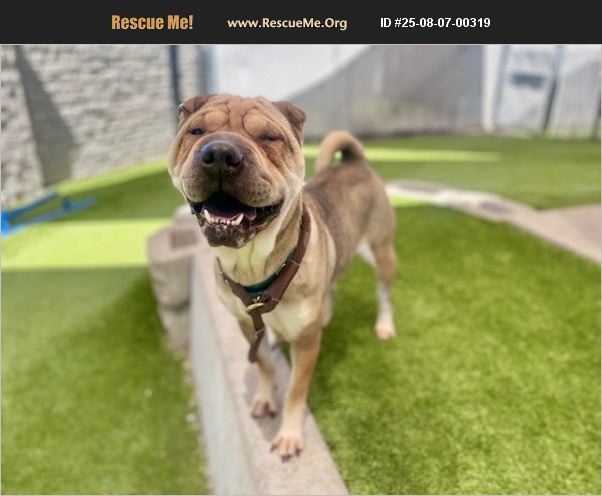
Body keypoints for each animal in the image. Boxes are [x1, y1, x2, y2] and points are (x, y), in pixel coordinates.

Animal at [168, 94, 396, 459]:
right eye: (197, 131)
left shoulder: (305, 345)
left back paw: (385, 325)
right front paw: (264, 397)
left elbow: (295, 390)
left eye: (269, 137)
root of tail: (355, 162)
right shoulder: (245, 323)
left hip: (382, 251)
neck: (254, 268)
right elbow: (262, 362)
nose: (219, 154)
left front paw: (289, 435)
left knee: (384, 293)